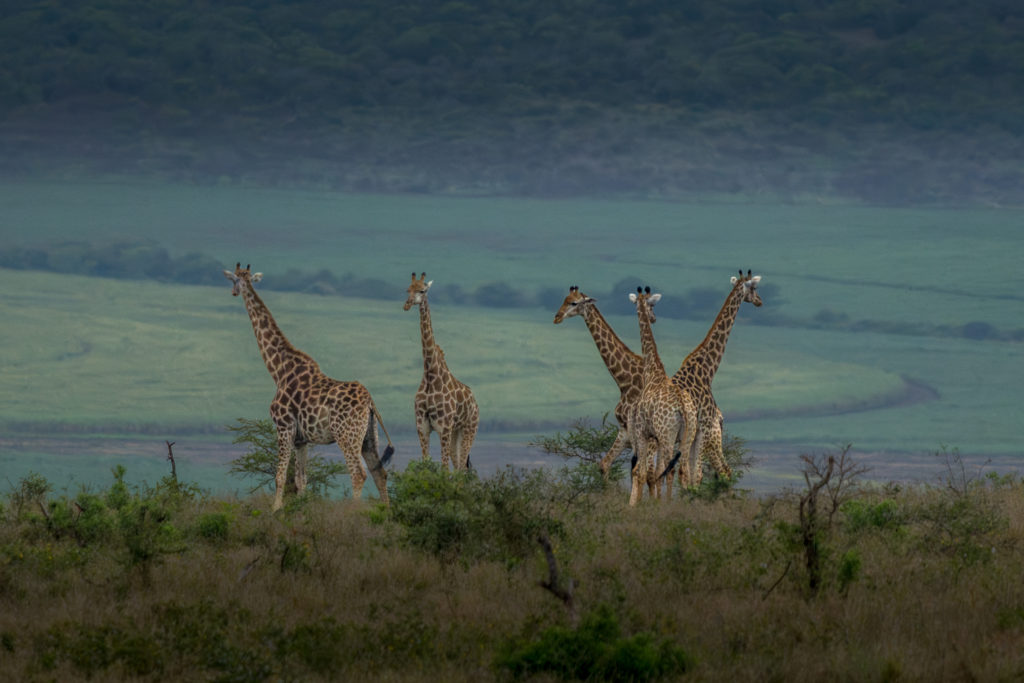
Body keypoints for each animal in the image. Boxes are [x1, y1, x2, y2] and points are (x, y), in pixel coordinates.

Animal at [222, 264, 393, 509]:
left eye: (235, 279)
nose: (234, 292)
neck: (279, 370)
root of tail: (370, 402)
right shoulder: (301, 439)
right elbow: (301, 479)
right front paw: (302, 510)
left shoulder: (283, 426)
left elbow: (280, 476)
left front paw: (275, 510)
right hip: (368, 437)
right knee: (379, 473)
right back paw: (385, 513)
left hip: (346, 435)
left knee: (358, 474)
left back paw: (353, 511)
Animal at [401, 272, 477, 471]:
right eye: (408, 289)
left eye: (423, 290)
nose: (407, 304)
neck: (430, 374)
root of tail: (475, 403)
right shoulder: (422, 427)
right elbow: (426, 464)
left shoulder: (443, 427)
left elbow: (444, 470)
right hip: (455, 433)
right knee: (459, 468)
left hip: (468, 429)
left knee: (461, 469)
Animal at [622, 286, 696, 505]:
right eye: (653, 305)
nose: (653, 318)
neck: (652, 372)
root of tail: (683, 408)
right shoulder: (653, 436)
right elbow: (653, 474)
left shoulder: (643, 432)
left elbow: (641, 472)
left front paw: (636, 505)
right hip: (688, 436)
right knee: (683, 471)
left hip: (667, 435)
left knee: (669, 470)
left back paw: (668, 505)